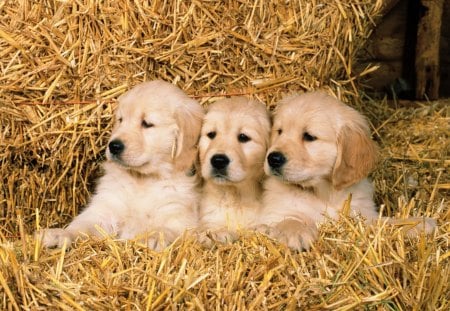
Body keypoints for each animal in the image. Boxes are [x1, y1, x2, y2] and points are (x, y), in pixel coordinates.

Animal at [38, 80, 204, 251]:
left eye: (147, 124)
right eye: (121, 120)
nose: (114, 146)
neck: (142, 180)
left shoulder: (179, 215)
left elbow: (170, 229)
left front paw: (153, 237)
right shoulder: (106, 208)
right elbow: (82, 225)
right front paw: (59, 234)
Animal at [260, 91, 436, 251]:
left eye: (309, 136)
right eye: (279, 131)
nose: (273, 159)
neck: (325, 192)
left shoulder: (362, 215)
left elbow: (385, 222)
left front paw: (419, 223)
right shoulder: (272, 214)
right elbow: (288, 219)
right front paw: (297, 233)